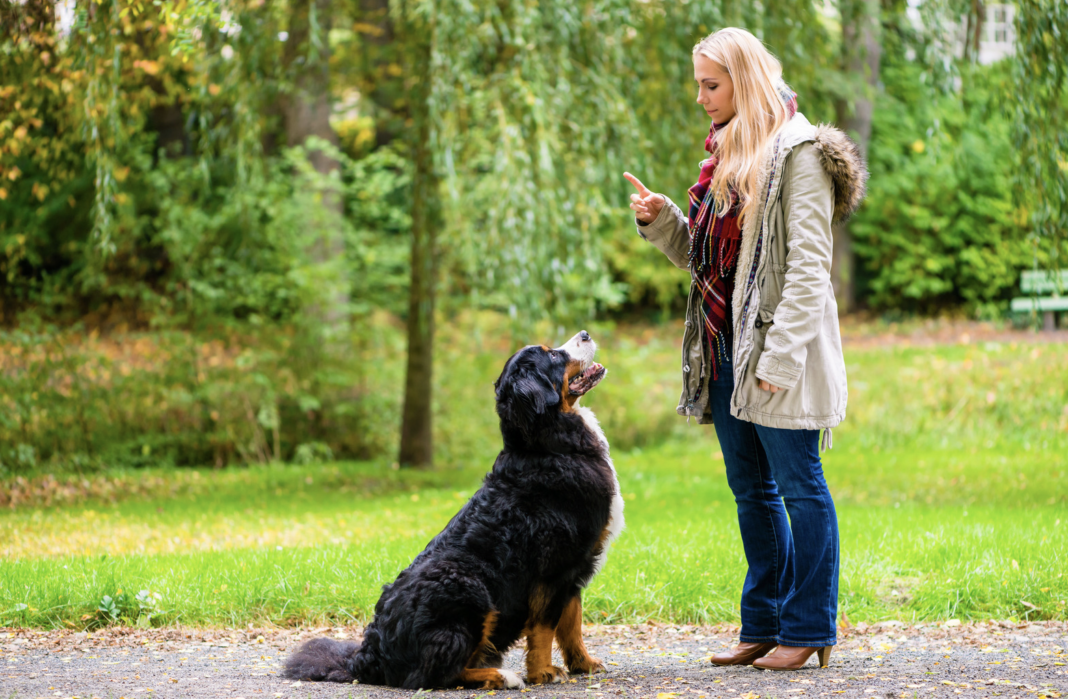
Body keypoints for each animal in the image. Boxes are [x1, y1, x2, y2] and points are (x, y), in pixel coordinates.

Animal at [284, 331, 623, 692]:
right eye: (553, 356)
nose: (585, 334)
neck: (548, 445)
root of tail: (368, 656)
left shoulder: (575, 568)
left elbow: (571, 624)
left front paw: (583, 664)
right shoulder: (555, 568)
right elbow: (545, 627)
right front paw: (544, 671)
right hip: (467, 586)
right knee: (434, 675)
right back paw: (501, 676)